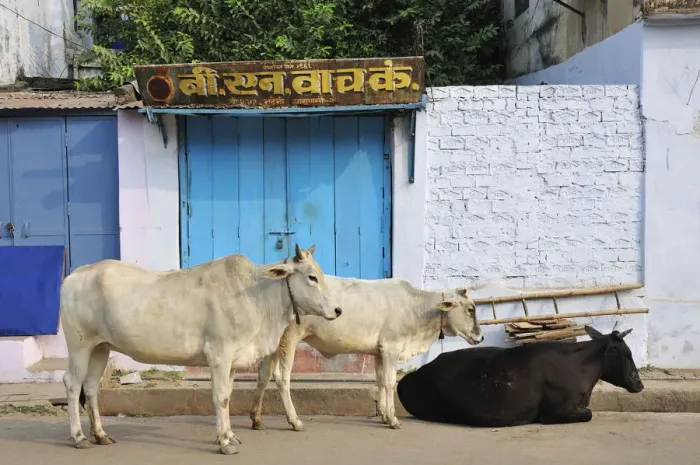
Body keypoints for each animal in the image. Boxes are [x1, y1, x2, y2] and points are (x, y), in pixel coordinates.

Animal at [60, 244, 341, 455]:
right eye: (311, 277)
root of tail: (75, 275)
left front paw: (230, 435)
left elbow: (228, 395)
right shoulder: (219, 354)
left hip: (100, 347)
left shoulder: (232, 360)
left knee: (91, 387)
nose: (338, 310)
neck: (257, 296)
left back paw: (100, 434)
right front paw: (224, 442)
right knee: (72, 384)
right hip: (79, 345)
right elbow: (221, 398)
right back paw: (78, 437)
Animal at [249, 278, 484, 431]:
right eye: (470, 309)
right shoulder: (391, 348)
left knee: (263, 374)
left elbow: (379, 380)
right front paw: (393, 420)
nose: (480, 337)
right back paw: (294, 420)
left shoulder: (380, 351)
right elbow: (390, 382)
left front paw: (384, 415)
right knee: (282, 377)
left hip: (275, 342)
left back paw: (256, 418)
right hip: (289, 338)